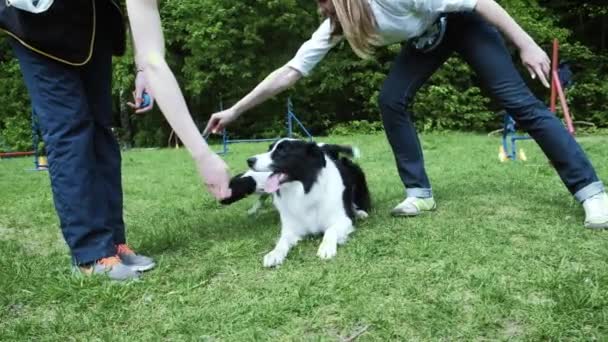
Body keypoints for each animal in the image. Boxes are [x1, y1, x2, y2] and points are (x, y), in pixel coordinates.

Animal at [221, 139, 368, 268]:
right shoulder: (291, 228)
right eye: (269, 149)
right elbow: (282, 241)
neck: (304, 190)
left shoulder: (343, 220)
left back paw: (360, 212)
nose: (249, 161)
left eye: (282, 151)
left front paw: (326, 248)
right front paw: (274, 254)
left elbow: (330, 231)